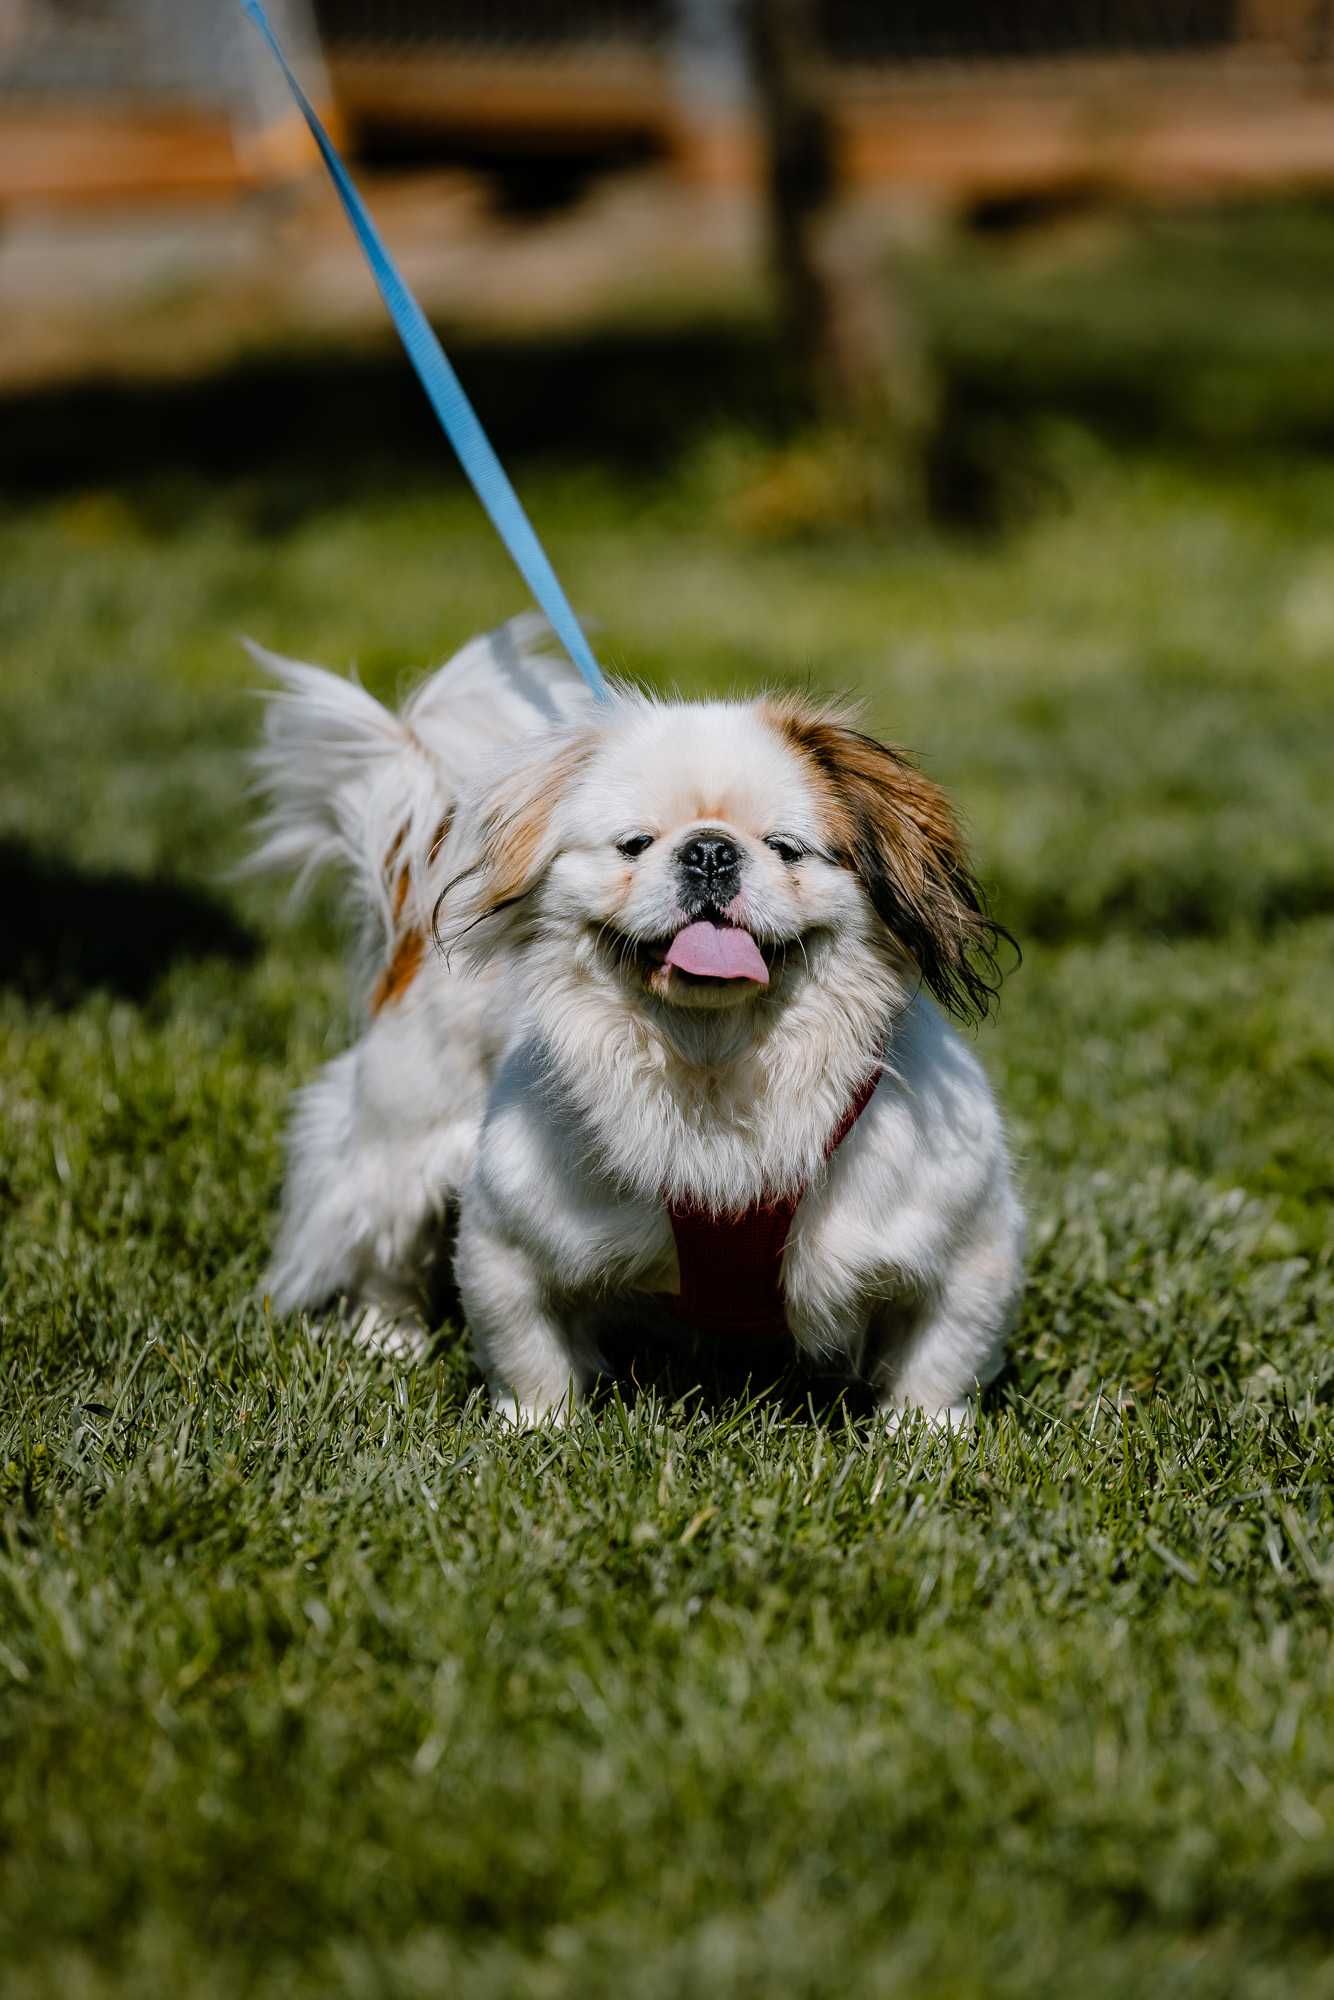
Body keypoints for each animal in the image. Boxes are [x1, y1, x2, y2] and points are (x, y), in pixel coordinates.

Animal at [250, 620, 1024, 1424]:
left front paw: (921, 1436)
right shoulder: (503, 1236)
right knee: (380, 1243)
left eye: (784, 848)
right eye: (635, 845)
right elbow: (526, 1350)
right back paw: (388, 1340)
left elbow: (941, 1358)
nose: (710, 849)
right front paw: (538, 1428)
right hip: (400, 1139)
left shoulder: (971, 1243)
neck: (714, 1066)